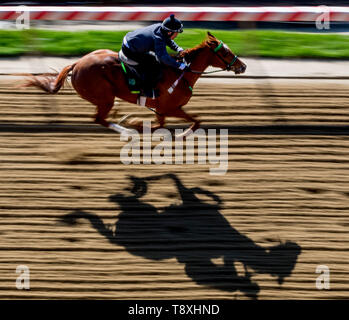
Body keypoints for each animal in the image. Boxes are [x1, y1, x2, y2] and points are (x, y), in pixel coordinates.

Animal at [23, 32, 245, 136]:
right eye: (225, 52)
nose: (242, 66)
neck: (180, 73)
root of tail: (76, 64)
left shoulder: (163, 110)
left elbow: (163, 124)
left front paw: (135, 121)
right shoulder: (169, 107)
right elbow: (194, 121)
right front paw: (135, 123)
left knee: (102, 117)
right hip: (104, 96)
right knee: (98, 119)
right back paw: (126, 130)